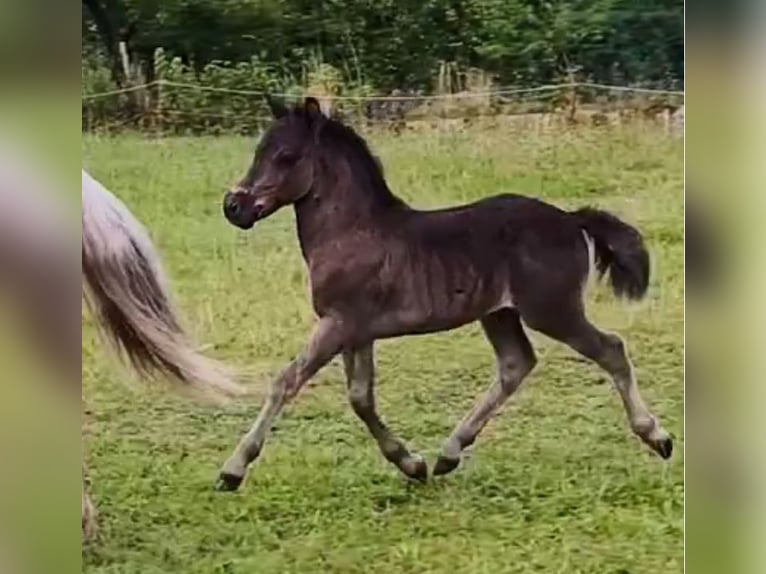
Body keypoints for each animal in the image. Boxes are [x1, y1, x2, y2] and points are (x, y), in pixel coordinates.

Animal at [216, 97, 672, 492]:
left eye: (286, 156)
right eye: (259, 150)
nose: (233, 207)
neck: (352, 231)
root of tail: (571, 219)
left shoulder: (338, 323)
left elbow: (286, 381)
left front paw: (232, 470)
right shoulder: (357, 332)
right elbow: (361, 398)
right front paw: (412, 464)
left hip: (551, 310)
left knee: (610, 349)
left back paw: (658, 437)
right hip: (499, 314)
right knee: (516, 364)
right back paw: (448, 454)